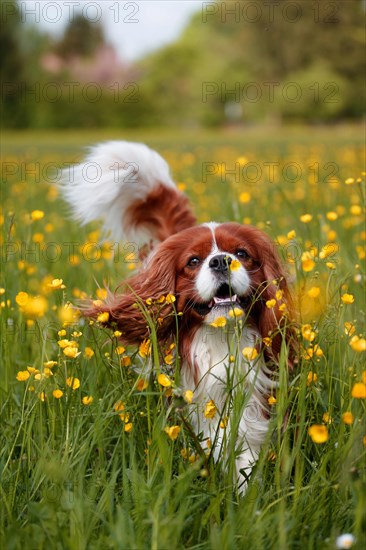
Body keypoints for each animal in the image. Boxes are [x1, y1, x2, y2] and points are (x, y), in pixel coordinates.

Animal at [60, 141, 294, 492]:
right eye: (193, 261)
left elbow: (245, 454)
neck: (221, 337)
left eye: (241, 254)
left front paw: (245, 493)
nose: (221, 261)